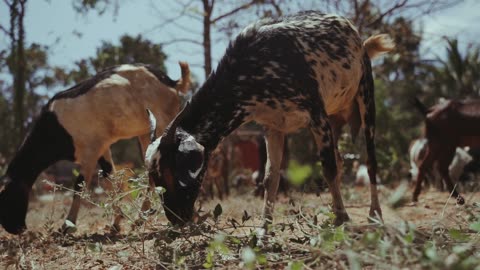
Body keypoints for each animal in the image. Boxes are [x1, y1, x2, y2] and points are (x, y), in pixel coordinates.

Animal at [0, 61, 191, 234]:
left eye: (6, 197)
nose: (16, 229)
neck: (55, 126)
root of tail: (171, 82)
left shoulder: (89, 151)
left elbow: (79, 185)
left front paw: (68, 226)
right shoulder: (102, 147)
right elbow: (109, 178)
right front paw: (116, 222)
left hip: (164, 123)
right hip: (146, 132)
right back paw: (141, 218)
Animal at [146, 10, 394, 226]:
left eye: (170, 172)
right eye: (154, 178)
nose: (176, 219)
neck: (254, 66)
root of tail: (360, 42)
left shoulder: (317, 117)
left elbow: (328, 168)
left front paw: (342, 218)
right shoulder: (273, 127)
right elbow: (270, 178)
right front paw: (264, 227)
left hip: (365, 96)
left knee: (369, 161)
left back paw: (374, 212)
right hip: (334, 120)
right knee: (341, 160)